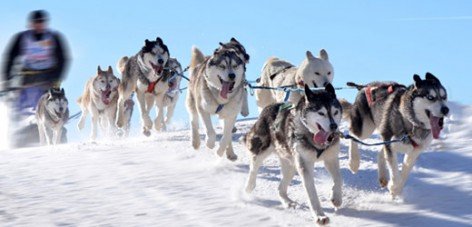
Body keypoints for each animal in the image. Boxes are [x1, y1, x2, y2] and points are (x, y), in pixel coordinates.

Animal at [245, 84, 342, 224]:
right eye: (321, 113)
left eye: (335, 112)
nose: (333, 126)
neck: (312, 136)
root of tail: (269, 107)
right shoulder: (305, 165)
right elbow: (312, 194)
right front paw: (319, 215)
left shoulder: (331, 158)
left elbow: (339, 179)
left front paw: (337, 198)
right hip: (262, 150)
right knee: (254, 167)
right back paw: (249, 187)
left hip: (291, 166)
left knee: (281, 188)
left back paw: (287, 202)